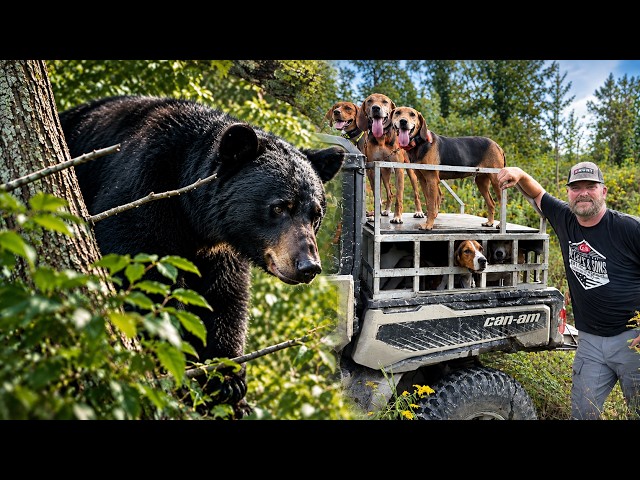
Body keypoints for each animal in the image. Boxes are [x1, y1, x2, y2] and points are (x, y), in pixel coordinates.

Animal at [59, 95, 344, 418]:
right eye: (280, 207)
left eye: (315, 215)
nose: (308, 266)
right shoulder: (139, 193)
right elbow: (140, 275)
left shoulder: (222, 250)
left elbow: (224, 298)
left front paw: (229, 382)